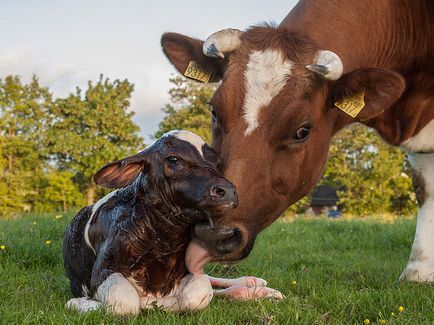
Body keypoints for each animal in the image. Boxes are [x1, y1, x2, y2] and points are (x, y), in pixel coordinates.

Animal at [62, 130, 284, 314]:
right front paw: (81, 303)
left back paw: (256, 285)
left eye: (217, 162)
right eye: (173, 159)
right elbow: (124, 302)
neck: (163, 241)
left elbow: (198, 294)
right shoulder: (103, 270)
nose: (227, 190)